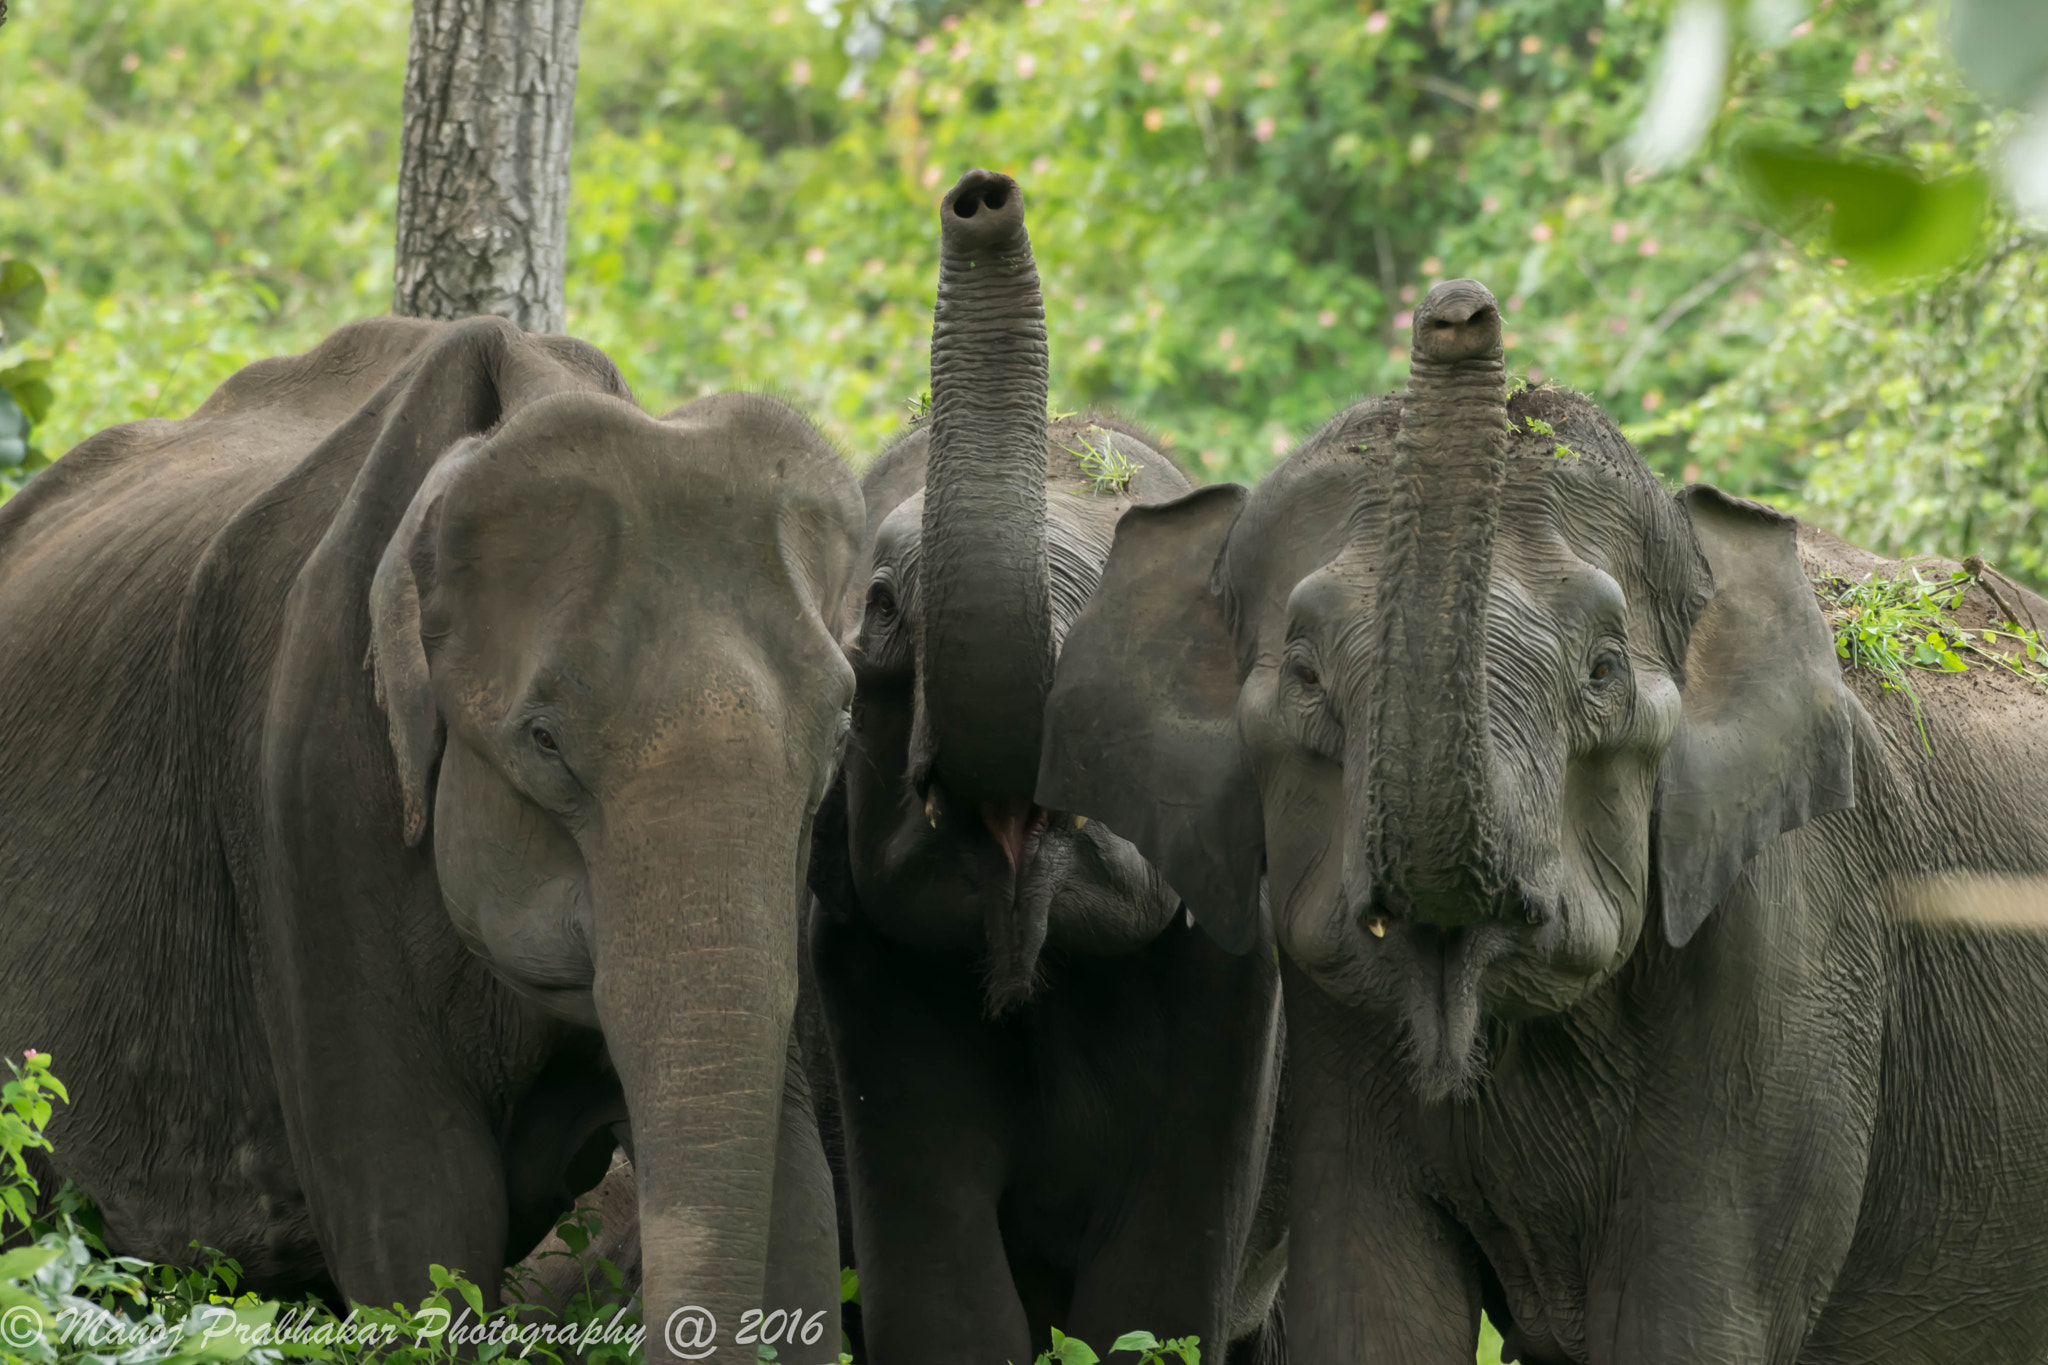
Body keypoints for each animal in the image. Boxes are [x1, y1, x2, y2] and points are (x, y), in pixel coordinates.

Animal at [805, 169, 1287, 1364]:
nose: (981, 194)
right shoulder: (856, 956)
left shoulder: (1236, 965)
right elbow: (941, 1296)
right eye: (881, 608)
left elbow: (1157, 1294)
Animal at [1041, 276, 2048, 1363]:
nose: (1457, 306)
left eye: (1602, 671)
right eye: (1304, 675)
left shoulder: (1789, 953)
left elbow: (1688, 1323)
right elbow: (1373, 1311)